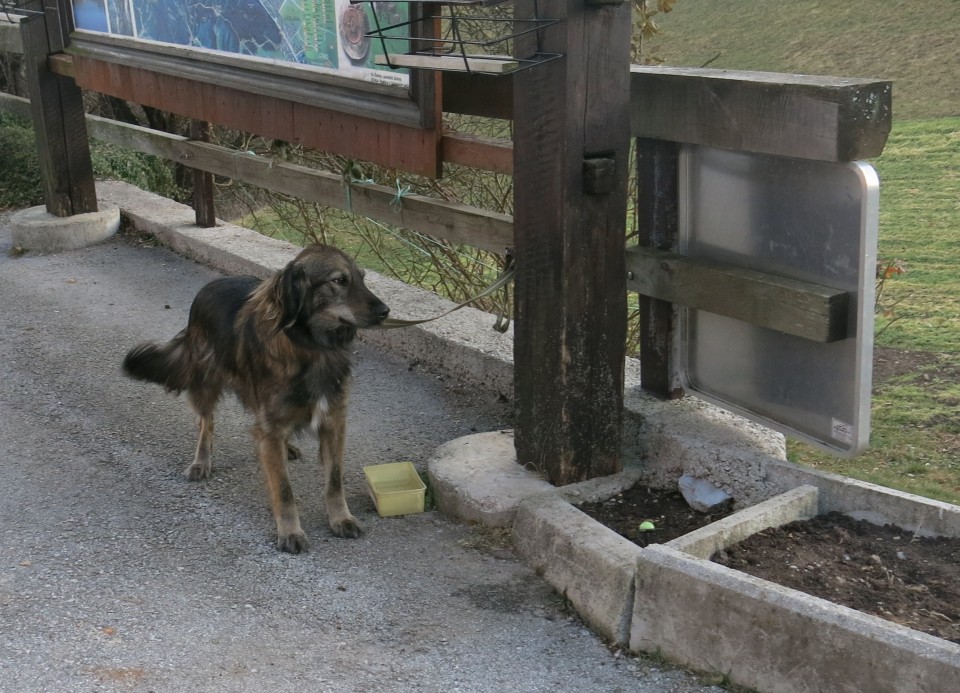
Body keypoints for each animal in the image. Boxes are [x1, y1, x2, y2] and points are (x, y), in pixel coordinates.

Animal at [124, 243, 390, 552]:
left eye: (362, 278)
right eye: (339, 280)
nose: (386, 312)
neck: (313, 348)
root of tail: (208, 286)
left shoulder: (334, 419)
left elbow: (335, 479)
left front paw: (340, 518)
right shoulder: (273, 425)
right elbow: (284, 490)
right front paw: (290, 532)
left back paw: (287, 448)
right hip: (205, 383)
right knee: (206, 423)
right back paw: (202, 461)